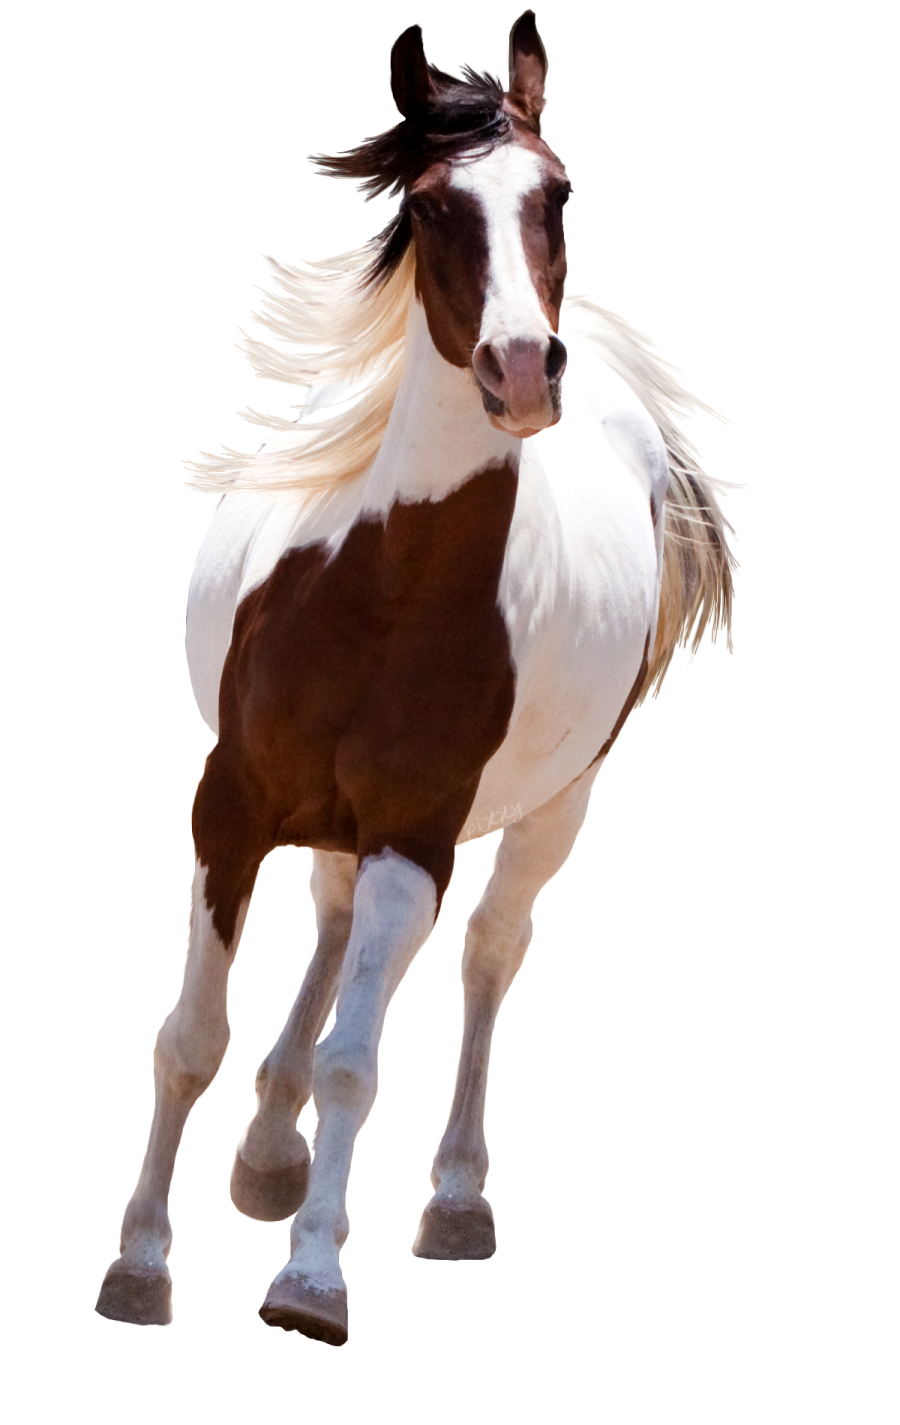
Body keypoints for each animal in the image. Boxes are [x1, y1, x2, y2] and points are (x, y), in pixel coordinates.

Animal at [95, 11, 742, 1346]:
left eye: (559, 193)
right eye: (437, 206)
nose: (522, 371)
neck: (382, 594)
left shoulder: (416, 836)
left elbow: (362, 1060)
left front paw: (309, 1279)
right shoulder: (228, 807)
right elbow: (188, 1037)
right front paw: (138, 1266)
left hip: (554, 806)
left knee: (490, 952)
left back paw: (448, 1198)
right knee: (333, 925)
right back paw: (265, 1149)